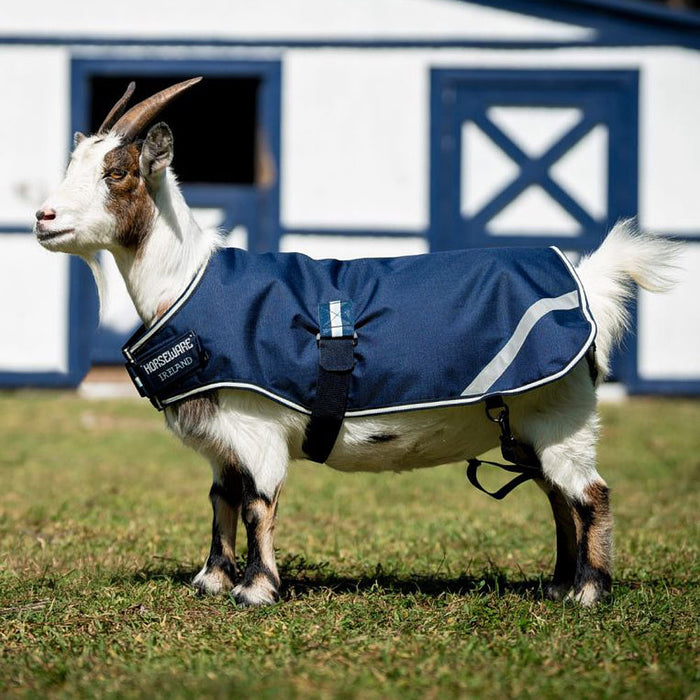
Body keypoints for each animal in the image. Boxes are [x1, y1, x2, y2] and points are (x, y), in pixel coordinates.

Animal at [34, 79, 678, 607]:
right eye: (74, 163)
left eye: (118, 172)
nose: (44, 217)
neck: (187, 283)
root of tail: (587, 283)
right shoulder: (222, 438)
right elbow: (221, 498)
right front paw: (211, 580)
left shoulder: (256, 426)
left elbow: (257, 503)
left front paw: (256, 590)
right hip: (532, 426)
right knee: (557, 498)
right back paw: (557, 584)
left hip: (563, 416)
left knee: (590, 495)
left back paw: (588, 593)